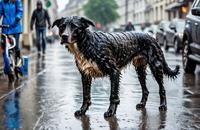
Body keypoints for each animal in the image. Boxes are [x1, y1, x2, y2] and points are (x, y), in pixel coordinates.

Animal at [52, 16, 180, 118]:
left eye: (75, 26)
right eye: (62, 26)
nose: (64, 36)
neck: (86, 44)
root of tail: (151, 36)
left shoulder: (114, 72)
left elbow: (113, 95)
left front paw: (110, 112)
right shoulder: (85, 75)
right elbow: (86, 96)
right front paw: (82, 111)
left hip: (156, 66)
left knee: (162, 89)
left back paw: (163, 105)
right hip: (140, 69)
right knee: (145, 90)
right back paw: (142, 104)